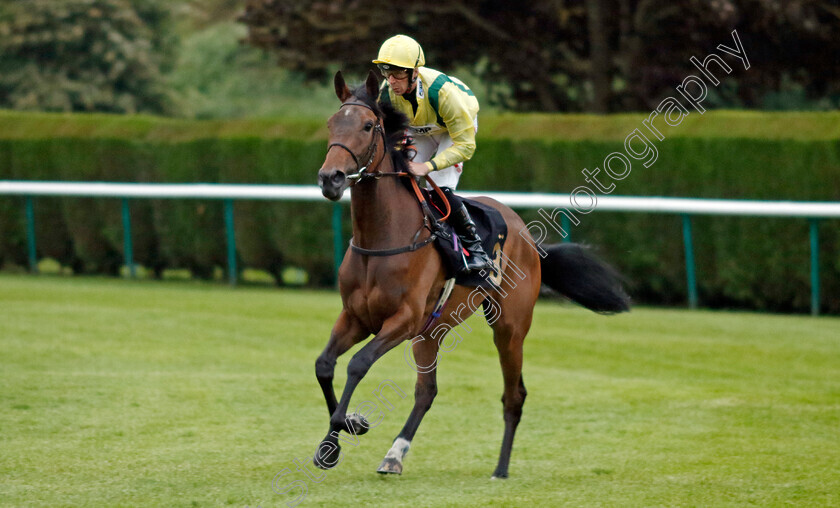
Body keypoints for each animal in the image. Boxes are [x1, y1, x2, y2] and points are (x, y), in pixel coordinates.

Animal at [316, 69, 632, 478]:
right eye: (331, 123)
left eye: (368, 125)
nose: (331, 178)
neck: (383, 238)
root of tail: (528, 238)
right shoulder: (356, 316)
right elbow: (325, 365)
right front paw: (332, 444)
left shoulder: (402, 320)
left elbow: (358, 364)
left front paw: (351, 423)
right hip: (431, 331)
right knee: (427, 392)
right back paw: (395, 455)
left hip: (508, 327)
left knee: (514, 395)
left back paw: (501, 469)